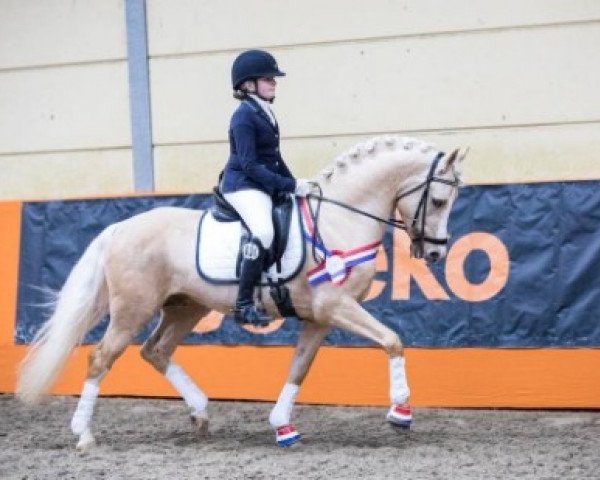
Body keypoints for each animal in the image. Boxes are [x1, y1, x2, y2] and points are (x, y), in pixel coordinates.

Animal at [16, 136, 466, 450]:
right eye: (438, 200)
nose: (436, 253)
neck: (339, 220)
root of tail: (118, 228)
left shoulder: (319, 317)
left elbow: (299, 368)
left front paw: (282, 427)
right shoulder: (336, 305)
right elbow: (392, 340)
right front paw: (400, 411)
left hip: (185, 308)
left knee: (155, 351)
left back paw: (199, 413)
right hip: (132, 309)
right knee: (100, 358)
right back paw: (83, 434)